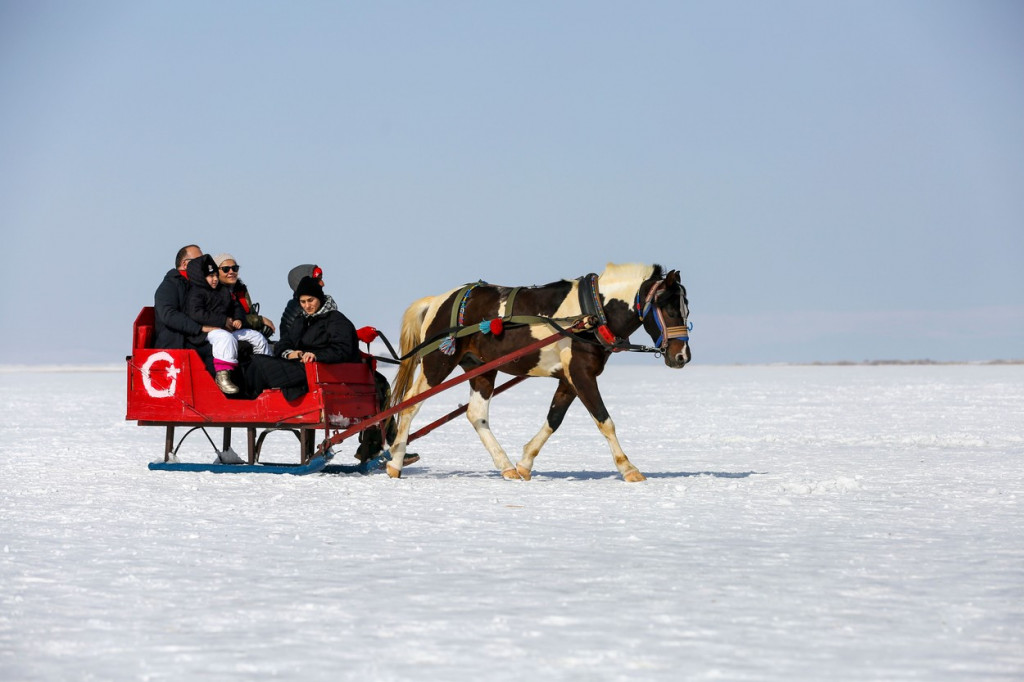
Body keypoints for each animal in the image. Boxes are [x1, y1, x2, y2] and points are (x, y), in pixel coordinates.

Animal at [387, 260, 692, 477]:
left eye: (686, 308)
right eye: (668, 308)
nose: (682, 357)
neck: (593, 312)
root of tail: (438, 300)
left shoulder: (569, 378)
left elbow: (554, 419)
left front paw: (524, 463)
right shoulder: (581, 374)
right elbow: (604, 420)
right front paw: (628, 468)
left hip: (481, 367)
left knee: (476, 414)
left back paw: (506, 466)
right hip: (438, 361)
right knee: (410, 405)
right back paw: (395, 463)